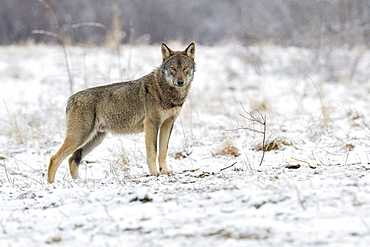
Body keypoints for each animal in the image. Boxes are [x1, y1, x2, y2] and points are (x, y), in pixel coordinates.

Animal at [47, 42, 195, 182]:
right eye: (173, 68)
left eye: (185, 67)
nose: (180, 82)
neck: (167, 92)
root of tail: (70, 99)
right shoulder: (151, 125)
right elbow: (153, 152)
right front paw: (155, 173)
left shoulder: (167, 125)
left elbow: (163, 151)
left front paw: (164, 171)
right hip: (79, 137)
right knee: (54, 159)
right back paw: (51, 184)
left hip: (94, 139)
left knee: (72, 160)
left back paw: (78, 181)